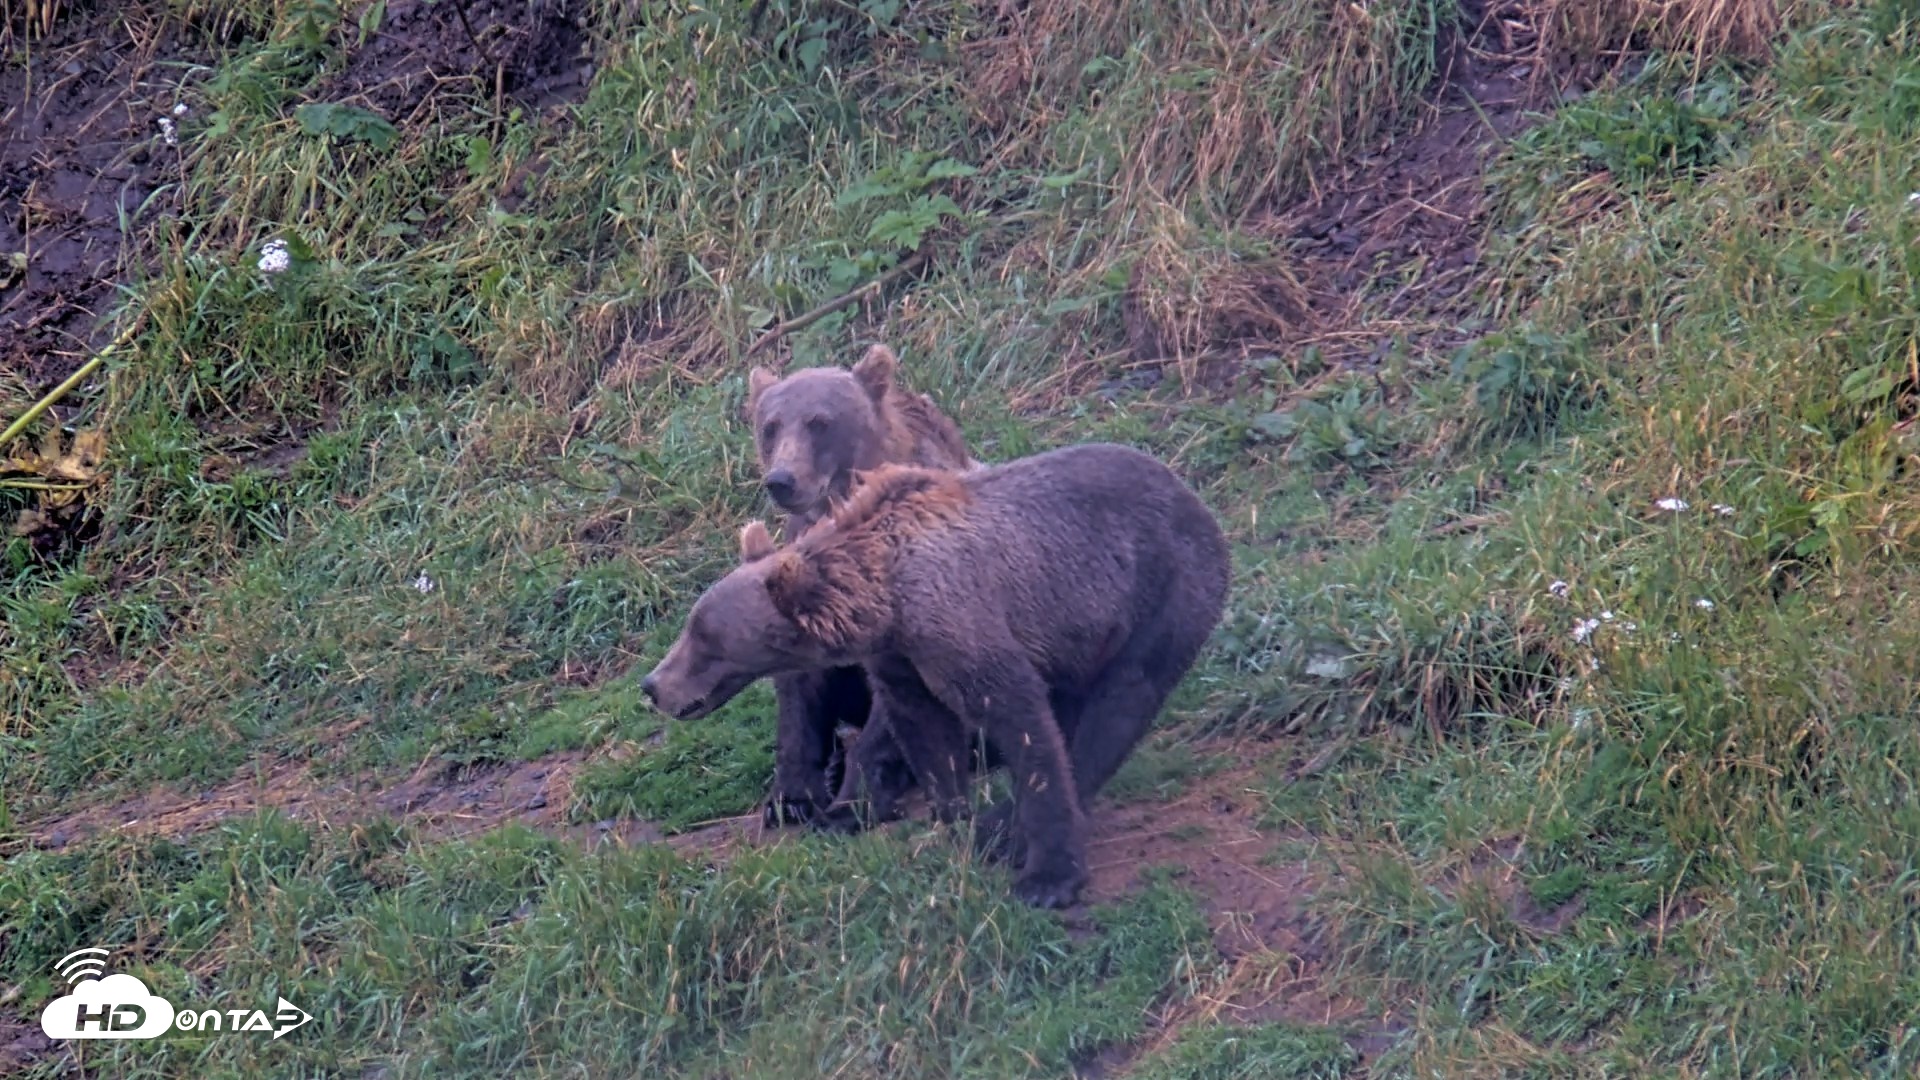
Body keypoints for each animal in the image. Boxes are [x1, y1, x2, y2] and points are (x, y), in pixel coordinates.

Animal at [638, 442, 1232, 909]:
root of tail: (1197, 499)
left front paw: (1047, 877)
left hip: (1160, 594)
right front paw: (955, 819)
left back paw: (1013, 824)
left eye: (705, 640)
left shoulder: (961, 624)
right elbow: (925, 731)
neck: (888, 597)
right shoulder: (903, 659)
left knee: (1119, 706)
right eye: (692, 628)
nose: (653, 686)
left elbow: (1020, 722)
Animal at [743, 343, 981, 831]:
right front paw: (789, 797)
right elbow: (799, 688)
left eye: (819, 422)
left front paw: (851, 803)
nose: (782, 481)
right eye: (770, 426)